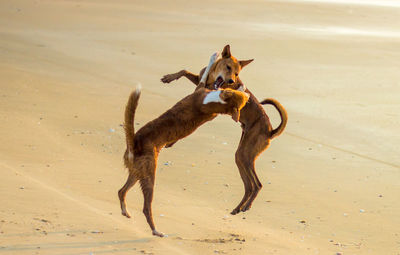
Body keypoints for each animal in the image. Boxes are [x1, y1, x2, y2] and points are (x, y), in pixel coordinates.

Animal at [118, 84, 250, 236]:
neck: (213, 100)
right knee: (146, 208)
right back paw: (156, 230)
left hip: (137, 174)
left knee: (121, 192)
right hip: (148, 176)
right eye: (244, 99)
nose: (249, 95)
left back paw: (126, 212)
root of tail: (133, 144)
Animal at [160, 44, 288, 215]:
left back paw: (245, 206)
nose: (231, 81)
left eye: (237, 73)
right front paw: (169, 77)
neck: (213, 77)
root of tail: (270, 131)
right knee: (249, 186)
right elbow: (185, 70)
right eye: (228, 67)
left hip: (245, 154)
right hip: (241, 156)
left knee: (256, 184)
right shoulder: (199, 82)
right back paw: (238, 208)